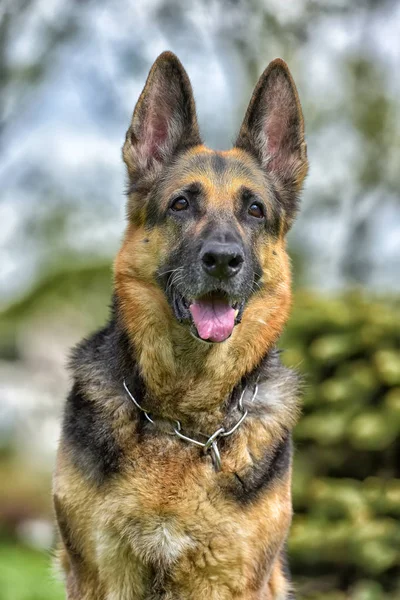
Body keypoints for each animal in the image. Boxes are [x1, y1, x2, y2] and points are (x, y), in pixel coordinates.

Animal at [53, 51, 308, 600]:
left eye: (254, 210)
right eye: (181, 204)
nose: (223, 260)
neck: (183, 423)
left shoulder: (230, 580)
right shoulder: (102, 574)